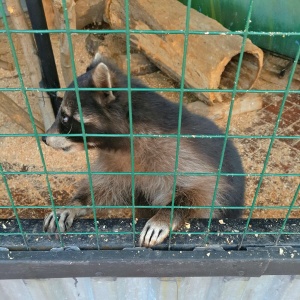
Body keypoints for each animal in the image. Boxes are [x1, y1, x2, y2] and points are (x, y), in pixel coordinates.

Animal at [41, 54, 244, 248]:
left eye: (65, 118)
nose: (43, 138)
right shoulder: (115, 161)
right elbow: (105, 189)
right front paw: (76, 203)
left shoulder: (181, 154)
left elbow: (203, 192)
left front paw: (165, 216)